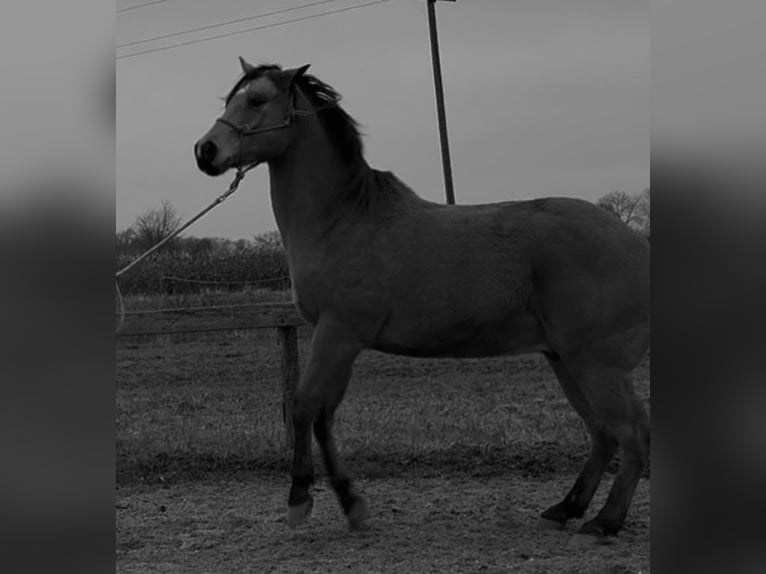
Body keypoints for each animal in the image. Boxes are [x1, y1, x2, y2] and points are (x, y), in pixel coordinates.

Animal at [194, 59, 650, 542]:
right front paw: (352, 505)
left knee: (633, 434)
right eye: (231, 99)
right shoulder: (340, 342)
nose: (205, 151)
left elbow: (303, 407)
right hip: (565, 361)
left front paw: (300, 500)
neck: (344, 219)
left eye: (256, 100)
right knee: (602, 434)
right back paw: (567, 507)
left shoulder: (337, 335)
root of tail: (637, 243)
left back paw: (606, 520)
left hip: (597, 365)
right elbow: (325, 416)